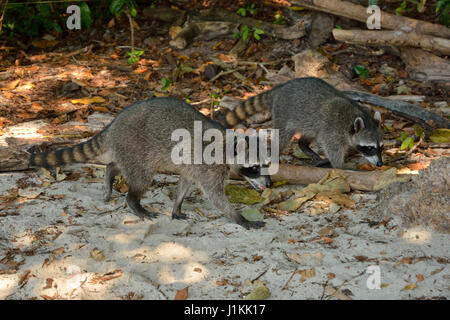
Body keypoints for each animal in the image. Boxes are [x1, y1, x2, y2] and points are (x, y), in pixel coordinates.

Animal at [29, 96, 270, 229]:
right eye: (254, 168)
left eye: (267, 165)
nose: (269, 185)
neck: (229, 145)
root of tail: (113, 124)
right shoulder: (209, 166)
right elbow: (216, 197)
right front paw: (240, 218)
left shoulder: (194, 166)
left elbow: (185, 182)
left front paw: (177, 206)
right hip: (134, 144)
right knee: (141, 178)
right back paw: (134, 202)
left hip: (129, 149)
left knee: (120, 164)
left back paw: (110, 172)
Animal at [214, 77, 384, 170]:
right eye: (369, 148)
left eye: (381, 147)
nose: (380, 164)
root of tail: (280, 89)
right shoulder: (332, 129)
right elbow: (333, 150)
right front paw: (341, 167)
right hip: (284, 113)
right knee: (282, 137)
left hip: (309, 121)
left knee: (308, 135)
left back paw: (305, 146)